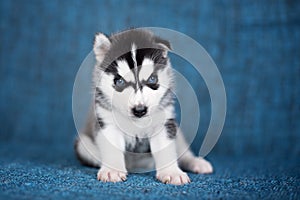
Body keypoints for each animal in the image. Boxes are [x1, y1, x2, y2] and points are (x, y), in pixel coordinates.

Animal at [74, 28, 212, 184]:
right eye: (119, 81)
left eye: (152, 79)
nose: (139, 110)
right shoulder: (106, 121)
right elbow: (112, 148)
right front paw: (112, 170)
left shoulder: (164, 124)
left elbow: (166, 149)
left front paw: (171, 172)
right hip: (83, 145)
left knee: (184, 152)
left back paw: (196, 162)